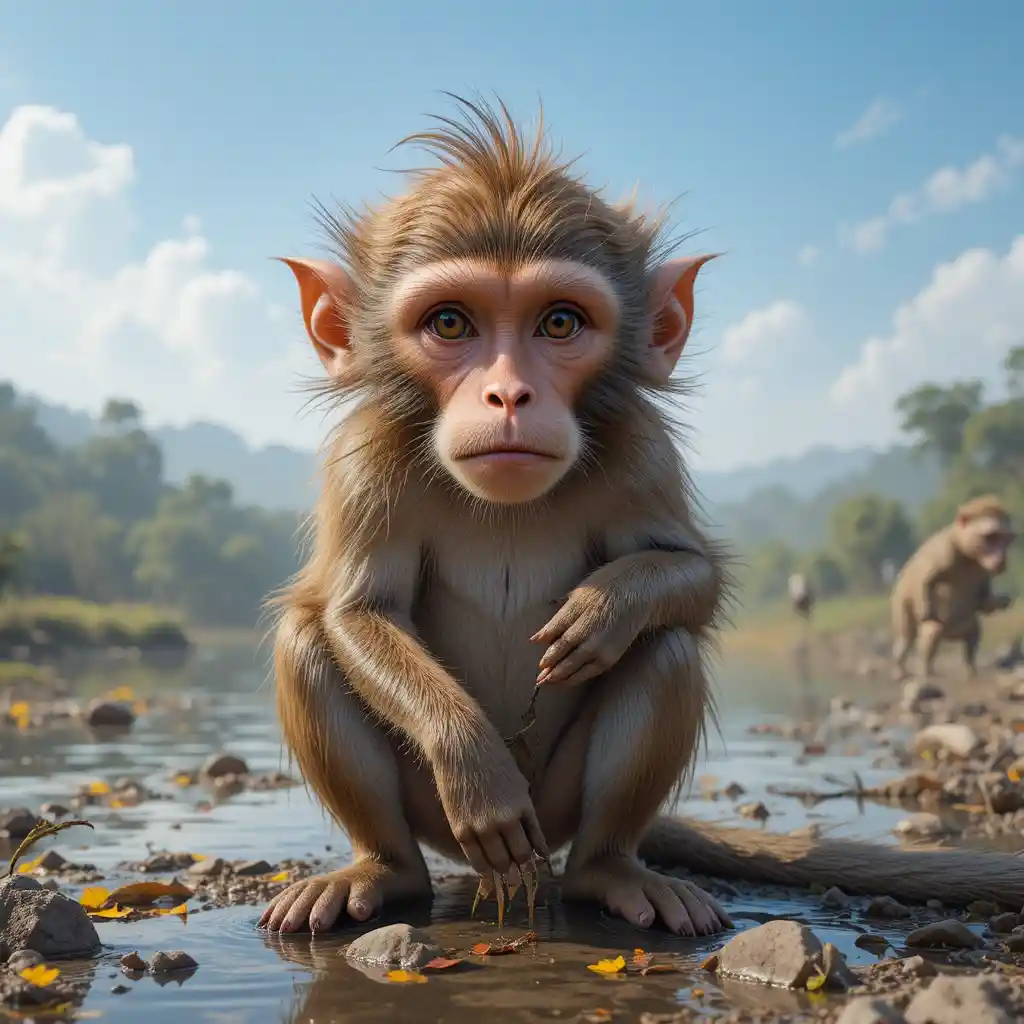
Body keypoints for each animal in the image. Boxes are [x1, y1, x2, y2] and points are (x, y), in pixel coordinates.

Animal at [891, 495, 1016, 681]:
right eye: (990, 536)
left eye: (1006, 537)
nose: (1001, 562)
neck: (969, 557)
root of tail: (950, 635)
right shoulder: (944, 554)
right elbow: (927, 582)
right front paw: (926, 610)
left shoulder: (983, 572)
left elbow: (984, 596)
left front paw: (1000, 601)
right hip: (902, 602)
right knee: (913, 638)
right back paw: (915, 672)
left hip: (965, 625)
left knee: (973, 638)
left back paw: (971, 672)